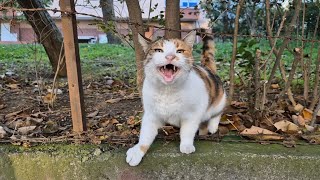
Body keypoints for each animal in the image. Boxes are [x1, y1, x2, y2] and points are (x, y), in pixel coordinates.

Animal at [126, 30, 226, 166]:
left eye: (180, 51)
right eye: (158, 50)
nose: (170, 56)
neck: (167, 91)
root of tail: (207, 68)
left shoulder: (193, 114)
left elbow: (187, 130)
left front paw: (186, 145)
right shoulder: (151, 115)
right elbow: (145, 135)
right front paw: (137, 151)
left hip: (219, 100)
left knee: (217, 112)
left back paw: (213, 126)